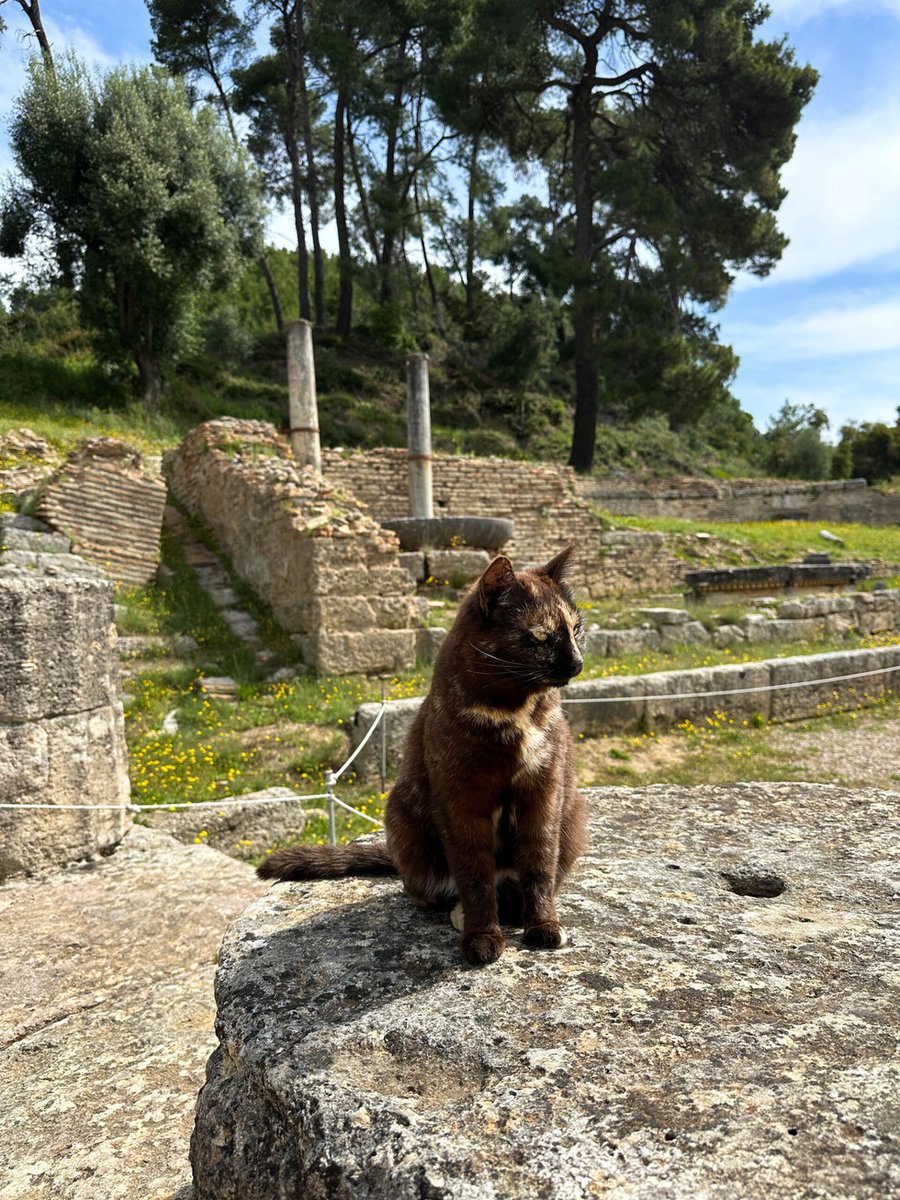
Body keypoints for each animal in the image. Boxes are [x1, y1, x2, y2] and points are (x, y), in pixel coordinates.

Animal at [256, 544, 588, 964]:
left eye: (576, 629)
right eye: (541, 636)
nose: (577, 662)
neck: (514, 714)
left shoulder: (544, 791)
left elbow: (539, 863)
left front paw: (543, 924)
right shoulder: (460, 800)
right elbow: (474, 875)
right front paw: (482, 936)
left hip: (573, 811)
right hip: (403, 817)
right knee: (435, 891)